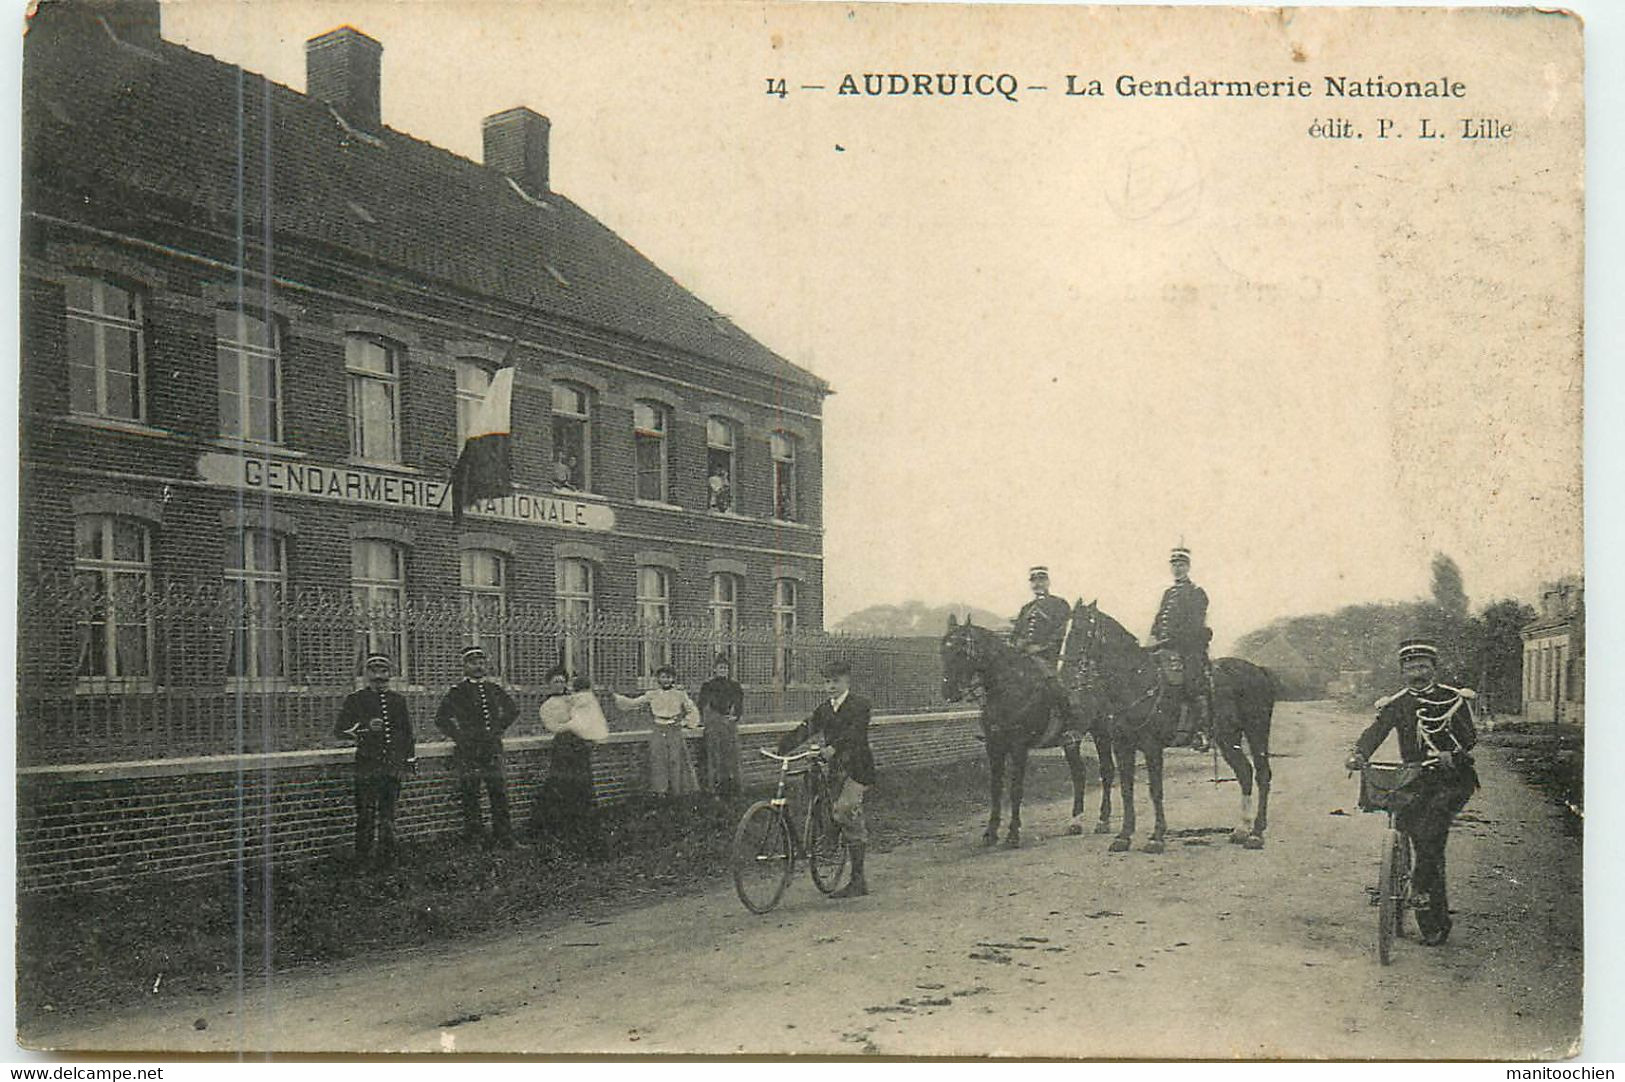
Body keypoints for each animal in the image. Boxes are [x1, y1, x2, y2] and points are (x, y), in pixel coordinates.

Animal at [942, 610, 1118, 844]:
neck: (1010, 688)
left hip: (1102, 732)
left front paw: (1013, 833)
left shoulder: (1019, 747)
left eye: (961, 651)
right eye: (943, 650)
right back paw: (1075, 822)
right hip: (1071, 741)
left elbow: (1016, 788)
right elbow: (995, 788)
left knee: (1106, 770)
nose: (949, 692)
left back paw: (1103, 821)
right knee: (1079, 774)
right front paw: (991, 832)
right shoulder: (994, 747)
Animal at [1066, 597, 1280, 851]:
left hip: (1257, 732)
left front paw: (1157, 837)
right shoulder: (1122, 746)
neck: (1137, 682)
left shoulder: (1152, 747)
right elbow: (1127, 789)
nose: (1067, 672)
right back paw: (1241, 830)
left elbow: (1155, 790)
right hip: (1228, 739)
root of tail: (1259, 671)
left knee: (1262, 775)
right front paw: (1123, 836)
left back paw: (1256, 833)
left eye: (1080, 631)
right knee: (1245, 772)